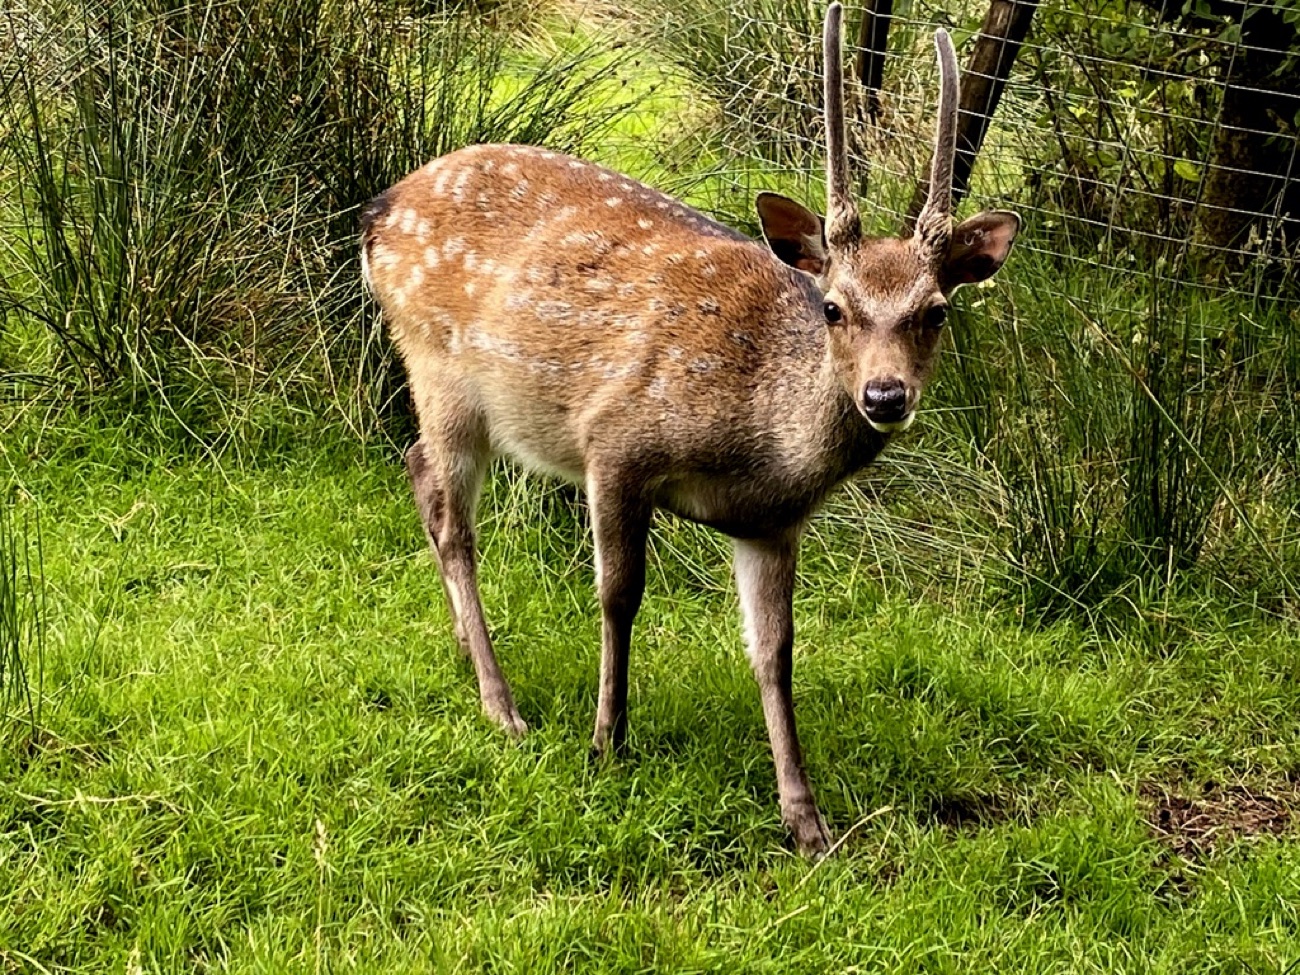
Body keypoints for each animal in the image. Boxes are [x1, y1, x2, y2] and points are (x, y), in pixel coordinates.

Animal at [360, 3, 1019, 856]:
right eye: (834, 307)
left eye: (935, 311)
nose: (884, 393)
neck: (761, 439)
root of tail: (376, 212)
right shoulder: (616, 442)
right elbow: (619, 594)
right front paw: (607, 739)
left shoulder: (773, 523)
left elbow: (775, 650)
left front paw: (807, 820)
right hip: (437, 363)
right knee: (447, 510)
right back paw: (503, 705)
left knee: (415, 466)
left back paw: (468, 659)